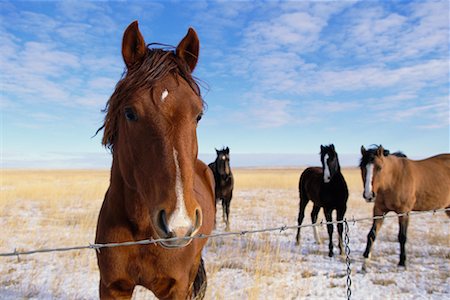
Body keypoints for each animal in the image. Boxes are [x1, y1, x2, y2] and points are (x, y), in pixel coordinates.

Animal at [94, 20, 215, 298]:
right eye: (130, 113)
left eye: (198, 115)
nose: (178, 224)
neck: (141, 230)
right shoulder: (111, 286)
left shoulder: (176, 288)